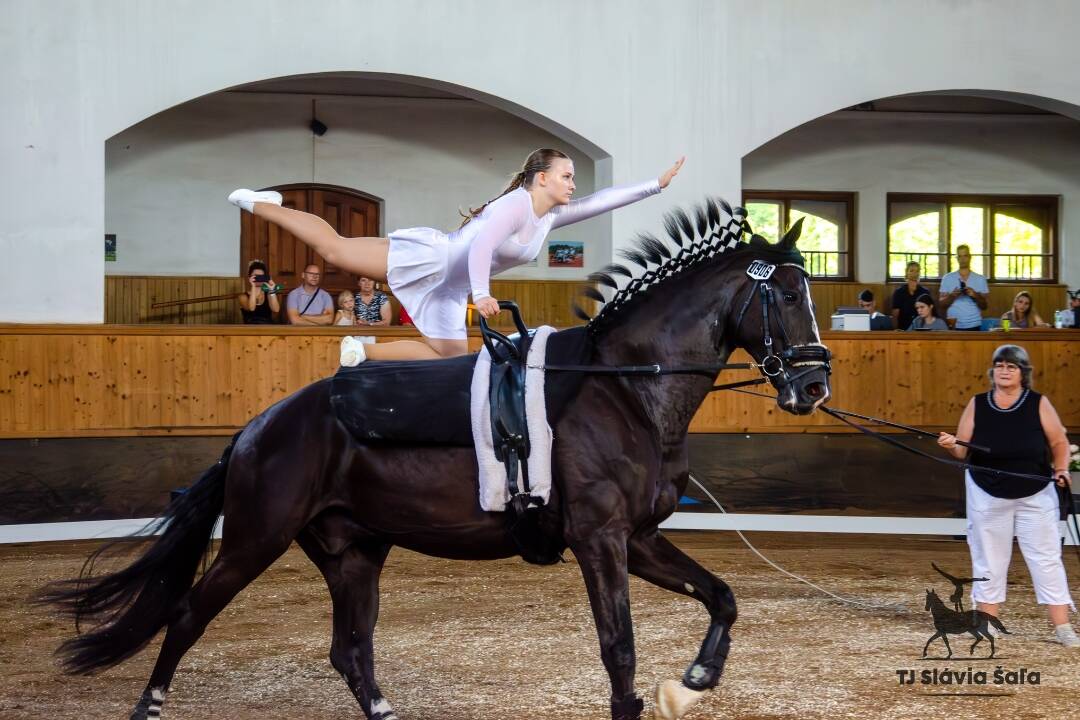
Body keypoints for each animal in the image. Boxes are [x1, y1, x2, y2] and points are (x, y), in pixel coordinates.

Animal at [42, 202, 829, 720]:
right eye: (787, 293)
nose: (814, 385)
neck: (625, 391)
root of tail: (260, 425)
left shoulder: (638, 538)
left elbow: (721, 597)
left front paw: (693, 679)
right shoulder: (600, 540)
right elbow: (620, 649)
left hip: (354, 550)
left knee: (350, 650)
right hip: (254, 540)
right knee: (186, 615)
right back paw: (149, 705)